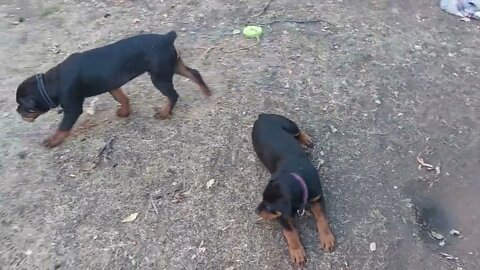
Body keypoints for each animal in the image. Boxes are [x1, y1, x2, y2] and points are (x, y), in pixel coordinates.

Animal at [15, 32, 210, 149]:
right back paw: (206, 92)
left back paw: (164, 113)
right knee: (194, 73)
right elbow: (123, 98)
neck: (50, 84)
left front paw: (53, 141)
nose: (17, 111)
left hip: (159, 77)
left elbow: (63, 127)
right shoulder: (112, 85)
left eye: (25, 107)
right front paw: (124, 113)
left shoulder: (72, 109)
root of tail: (166, 37)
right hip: (172, 65)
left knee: (173, 95)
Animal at [253, 113, 336, 266]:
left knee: (298, 132)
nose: (256, 211)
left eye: (269, 207)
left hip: (290, 125)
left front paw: (327, 239)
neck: (297, 177)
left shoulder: (317, 197)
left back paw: (307, 139)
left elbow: (322, 218)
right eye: (262, 199)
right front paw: (297, 253)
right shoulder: (282, 215)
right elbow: (290, 233)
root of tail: (262, 116)